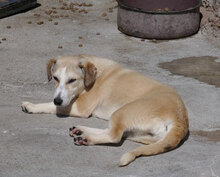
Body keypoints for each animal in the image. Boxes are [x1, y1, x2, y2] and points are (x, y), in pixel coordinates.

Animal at [21, 54, 188, 167]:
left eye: (72, 80)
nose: (58, 100)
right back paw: (81, 132)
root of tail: (180, 119)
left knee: (114, 136)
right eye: (55, 78)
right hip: (140, 133)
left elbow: (51, 106)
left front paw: (32, 106)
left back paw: (86, 138)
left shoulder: (80, 107)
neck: (95, 72)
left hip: (122, 112)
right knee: (117, 133)